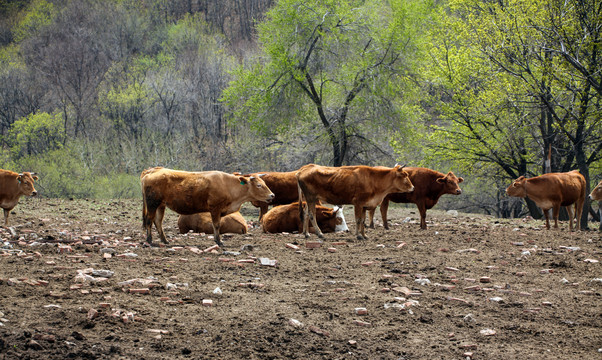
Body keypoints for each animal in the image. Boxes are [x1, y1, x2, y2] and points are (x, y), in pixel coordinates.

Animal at [139, 167, 274, 248]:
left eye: (264, 183)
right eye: (259, 185)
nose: (272, 195)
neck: (228, 185)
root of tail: (152, 171)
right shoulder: (215, 209)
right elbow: (216, 225)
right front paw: (219, 241)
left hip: (160, 205)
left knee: (158, 222)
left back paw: (164, 240)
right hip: (152, 204)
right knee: (149, 220)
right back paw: (150, 240)